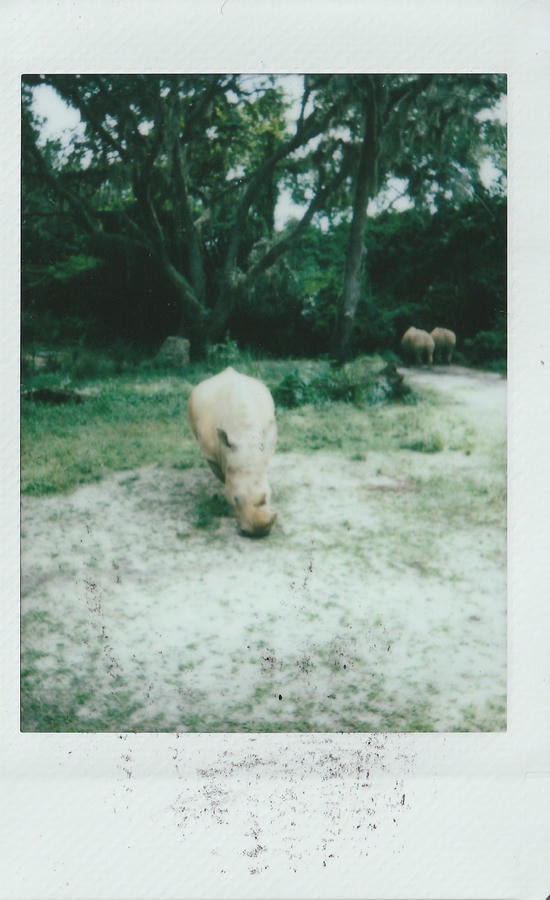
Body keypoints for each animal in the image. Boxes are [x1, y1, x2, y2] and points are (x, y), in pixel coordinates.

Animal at [187, 367, 278, 537]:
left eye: (268, 497)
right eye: (236, 499)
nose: (258, 533)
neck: (244, 433)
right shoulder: (212, 455)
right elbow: (225, 478)